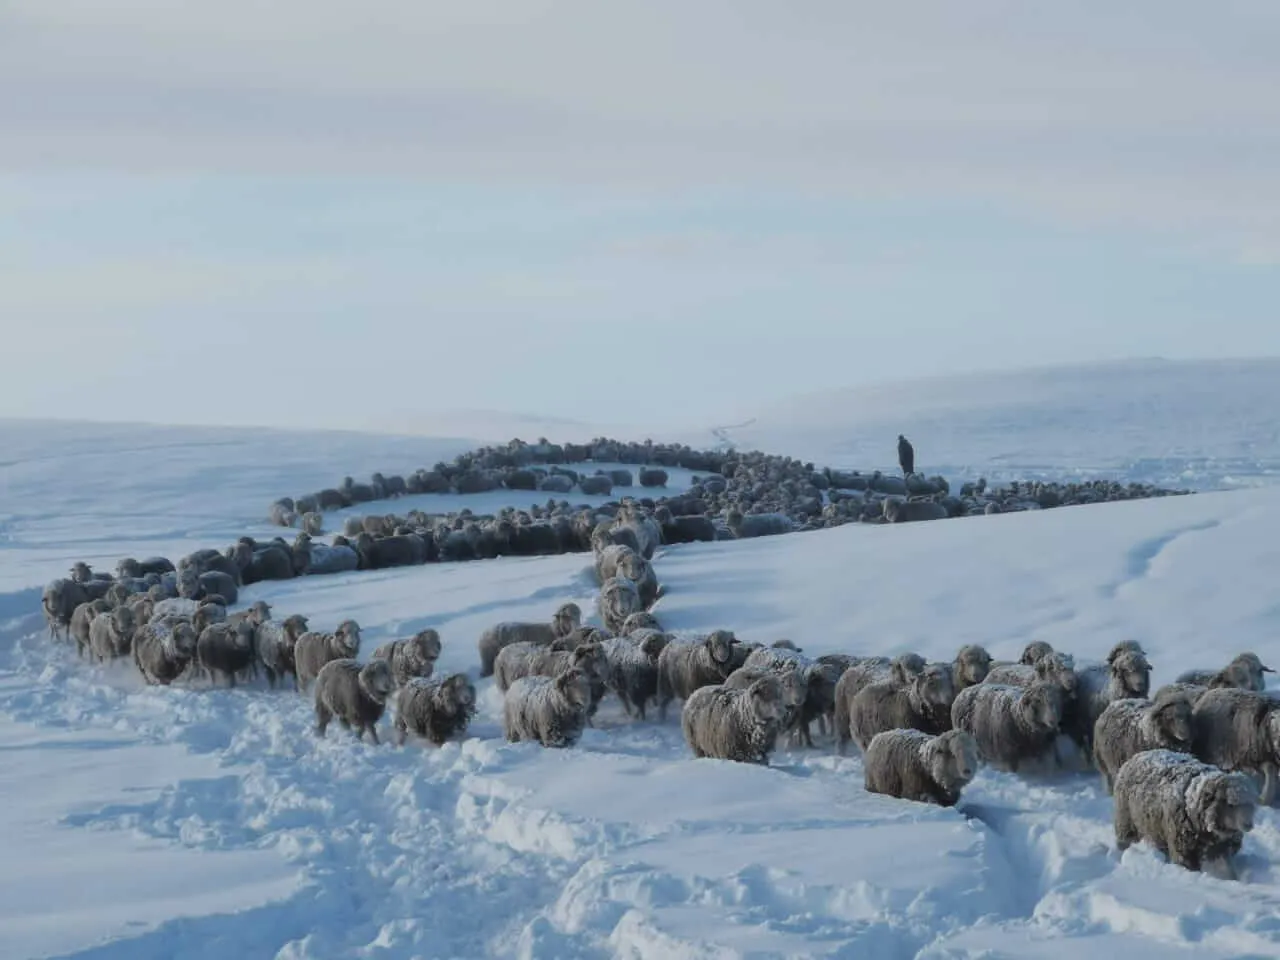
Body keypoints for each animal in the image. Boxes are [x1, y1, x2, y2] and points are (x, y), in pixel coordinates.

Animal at [1112, 749, 1258, 880]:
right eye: (1230, 804)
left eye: (1250, 804)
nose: (1248, 825)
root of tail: (1138, 754)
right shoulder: (1183, 849)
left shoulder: (1220, 847)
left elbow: (1228, 871)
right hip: (1126, 822)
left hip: (1155, 829)